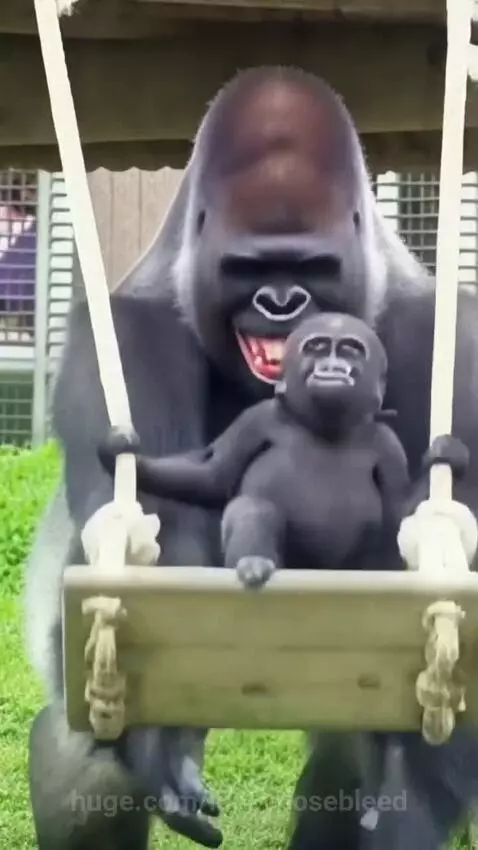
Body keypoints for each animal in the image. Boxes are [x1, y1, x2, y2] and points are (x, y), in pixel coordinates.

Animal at [24, 65, 478, 850]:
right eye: (249, 270)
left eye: (312, 269)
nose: (281, 302)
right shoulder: (129, 334)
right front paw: (166, 742)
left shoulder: (450, 341)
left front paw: (409, 798)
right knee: (81, 754)